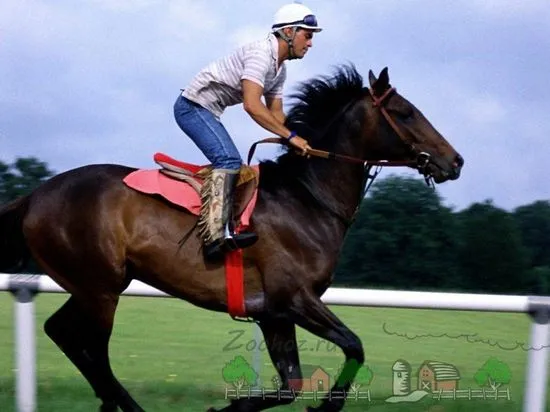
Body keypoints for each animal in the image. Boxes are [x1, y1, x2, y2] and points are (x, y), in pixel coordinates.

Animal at [0, 66, 466, 410]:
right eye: (405, 112)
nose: (455, 161)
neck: (307, 199)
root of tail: (35, 196)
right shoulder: (295, 298)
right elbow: (354, 346)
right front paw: (328, 405)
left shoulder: (274, 313)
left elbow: (290, 385)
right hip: (100, 288)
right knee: (93, 350)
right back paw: (125, 406)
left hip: (93, 285)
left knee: (62, 333)